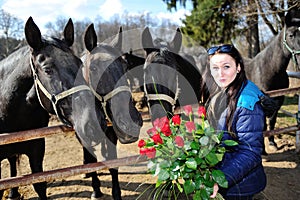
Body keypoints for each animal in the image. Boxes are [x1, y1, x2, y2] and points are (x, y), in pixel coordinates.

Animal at [82, 24, 143, 199]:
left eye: (125, 66)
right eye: (93, 68)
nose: (130, 123)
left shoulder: (111, 132)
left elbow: (113, 162)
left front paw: (116, 193)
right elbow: (91, 160)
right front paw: (96, 189)